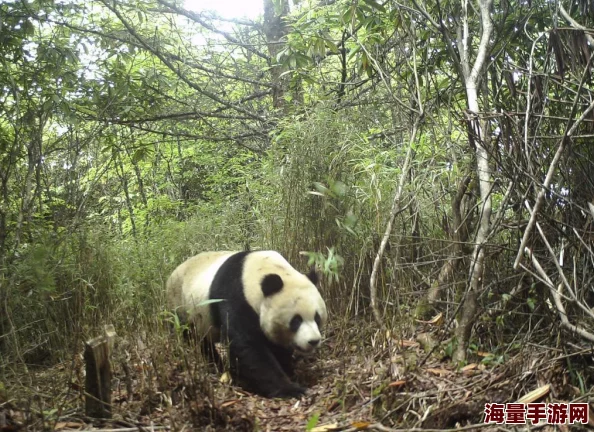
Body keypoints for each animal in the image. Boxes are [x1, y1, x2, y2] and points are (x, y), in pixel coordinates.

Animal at [164, 250, 326, 398]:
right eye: (296, 321)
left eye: (317, 318)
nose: (313, 341)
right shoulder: (235, 298)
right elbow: (247, 347)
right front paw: (290, 389)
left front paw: (287, 368)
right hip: (180, 308)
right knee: (197, 340)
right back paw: (217, 365)